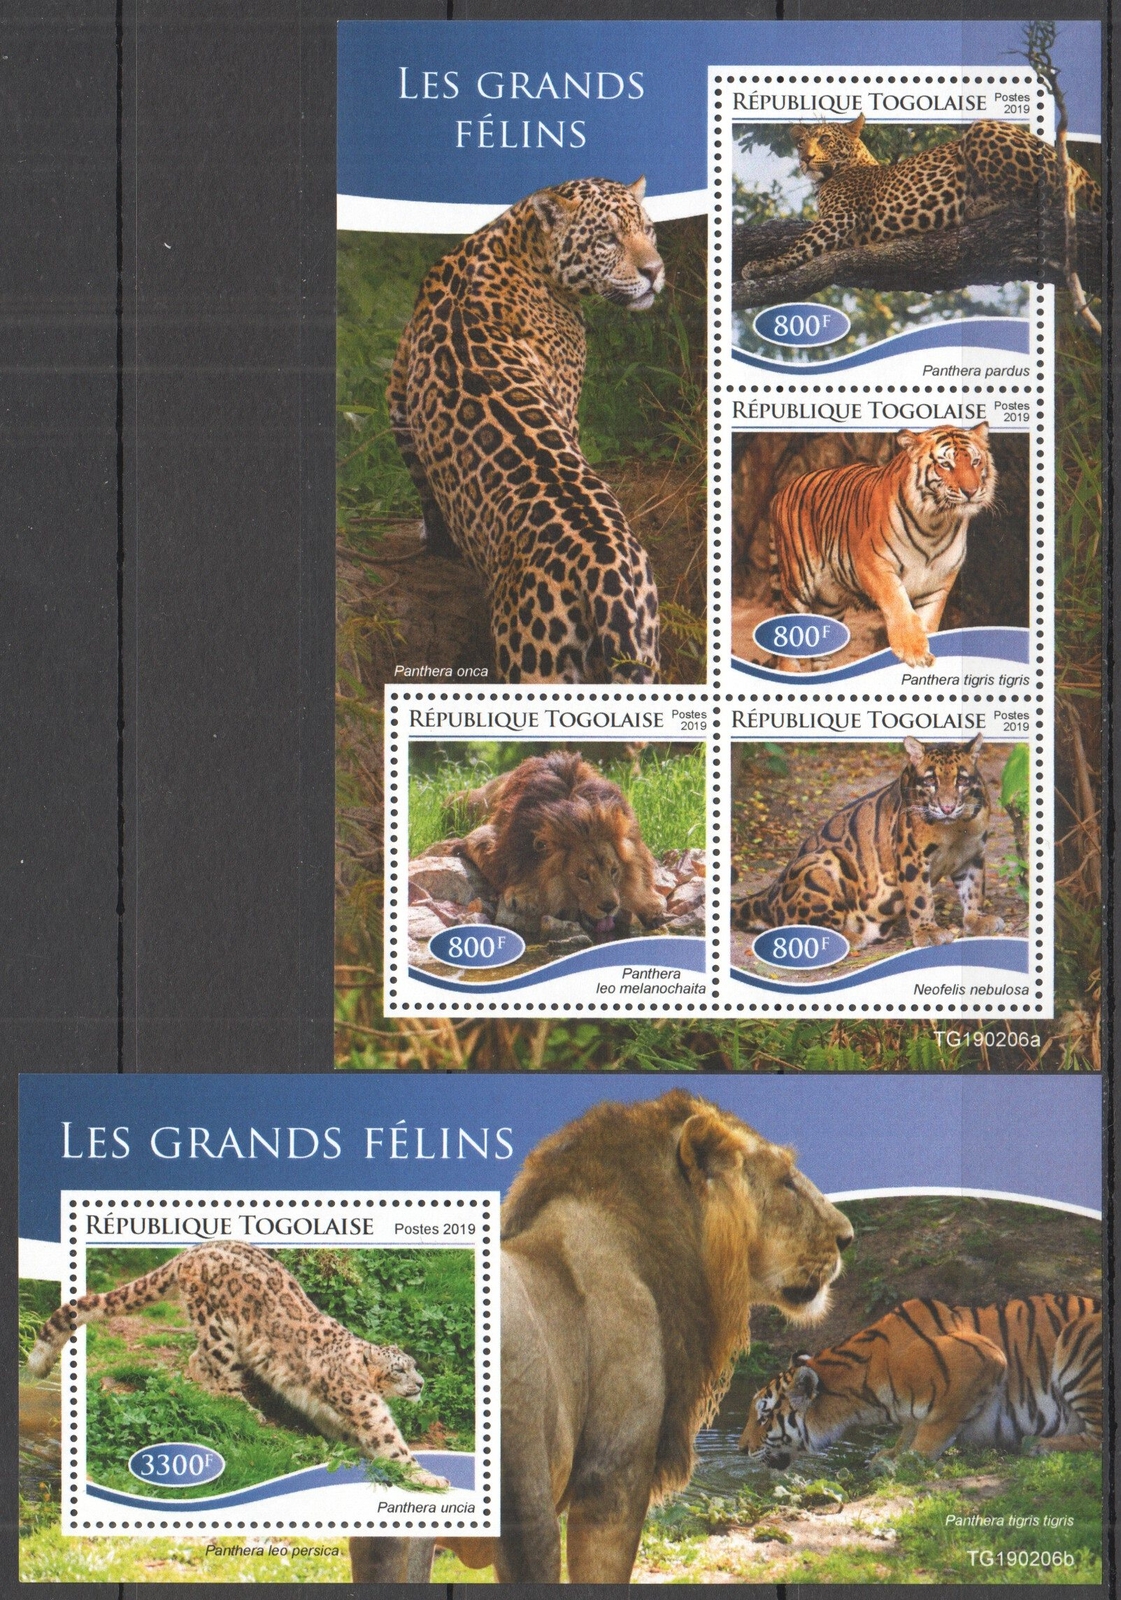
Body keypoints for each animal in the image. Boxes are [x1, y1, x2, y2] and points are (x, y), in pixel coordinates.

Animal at [448, 750, 668, 938]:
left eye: (614, 871)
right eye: (583, 876)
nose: (609, 907)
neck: (577, 813)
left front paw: (650, 905)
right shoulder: (486, 837)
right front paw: (524, 895)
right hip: (460, 802)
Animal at [732, 736, 1004, 948]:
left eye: (962, 781)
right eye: (930, 781)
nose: (947, 807)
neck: (956, 827)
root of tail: (769, 892)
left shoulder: (972, 854)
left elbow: (973, 889)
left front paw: (977, 919)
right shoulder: (912, 857)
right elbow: (920, 898)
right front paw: (928, 932)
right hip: (822, 862)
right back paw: (850, 938)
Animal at [739, 1294, 1102, 1465]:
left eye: (764, 1415)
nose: (741, 1449)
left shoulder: (984, 1357)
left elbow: (935, 1427)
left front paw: (909, 1460)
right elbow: (910, 1428)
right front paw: (888, 1454)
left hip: (1077, 1338)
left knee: (1097, 1439)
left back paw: (1041, 1445)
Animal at [769, 423, 996, 670]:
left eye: (975, 462)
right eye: (945, 464)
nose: (971, 491)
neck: (936, 524)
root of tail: (781, 492)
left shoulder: (939, 582)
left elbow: (928, 619)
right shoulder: (873, 563)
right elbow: (897, 603)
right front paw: (913, 650)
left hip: (829, 602)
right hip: (796, 583)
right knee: (788, 642)